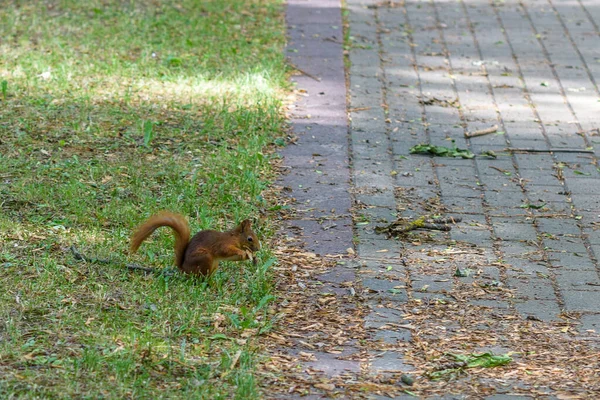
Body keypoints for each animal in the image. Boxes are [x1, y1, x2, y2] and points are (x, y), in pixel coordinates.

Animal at [130, 212, 262, 276]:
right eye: (250, 239)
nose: (258, 249)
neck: (234, 238)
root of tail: (184, 269)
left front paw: (252, 257)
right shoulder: (223, 244)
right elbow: (225, 250)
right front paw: (243, 252)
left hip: (214, 263)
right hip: (205, 258)